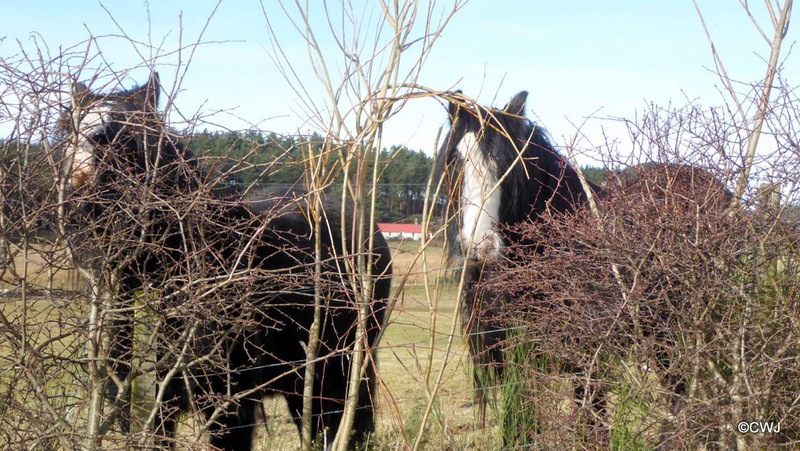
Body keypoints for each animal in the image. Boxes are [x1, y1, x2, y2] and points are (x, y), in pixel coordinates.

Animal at [61, 72, 392, 450]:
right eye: (70, 124)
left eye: (128, 125)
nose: (85, 158)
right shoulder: (157, 407)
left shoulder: (229, 402)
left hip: (345, 366)